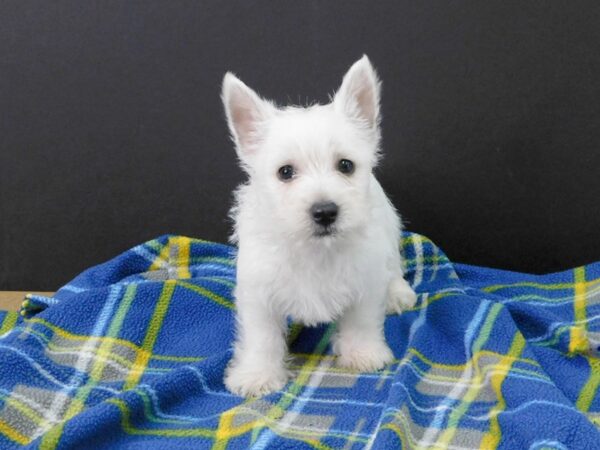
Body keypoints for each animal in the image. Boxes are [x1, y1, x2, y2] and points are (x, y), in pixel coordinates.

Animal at [221, 54, 418, 396]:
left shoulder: (365, 280)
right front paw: (257, 374)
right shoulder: (258, 293)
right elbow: (262, 337)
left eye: (346, 165)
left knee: (393, 268)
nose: (325, 211)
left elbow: (361, 320)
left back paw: (397, 293)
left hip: (389, 231)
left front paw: (362, 353)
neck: (315, 249)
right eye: (285, 172)